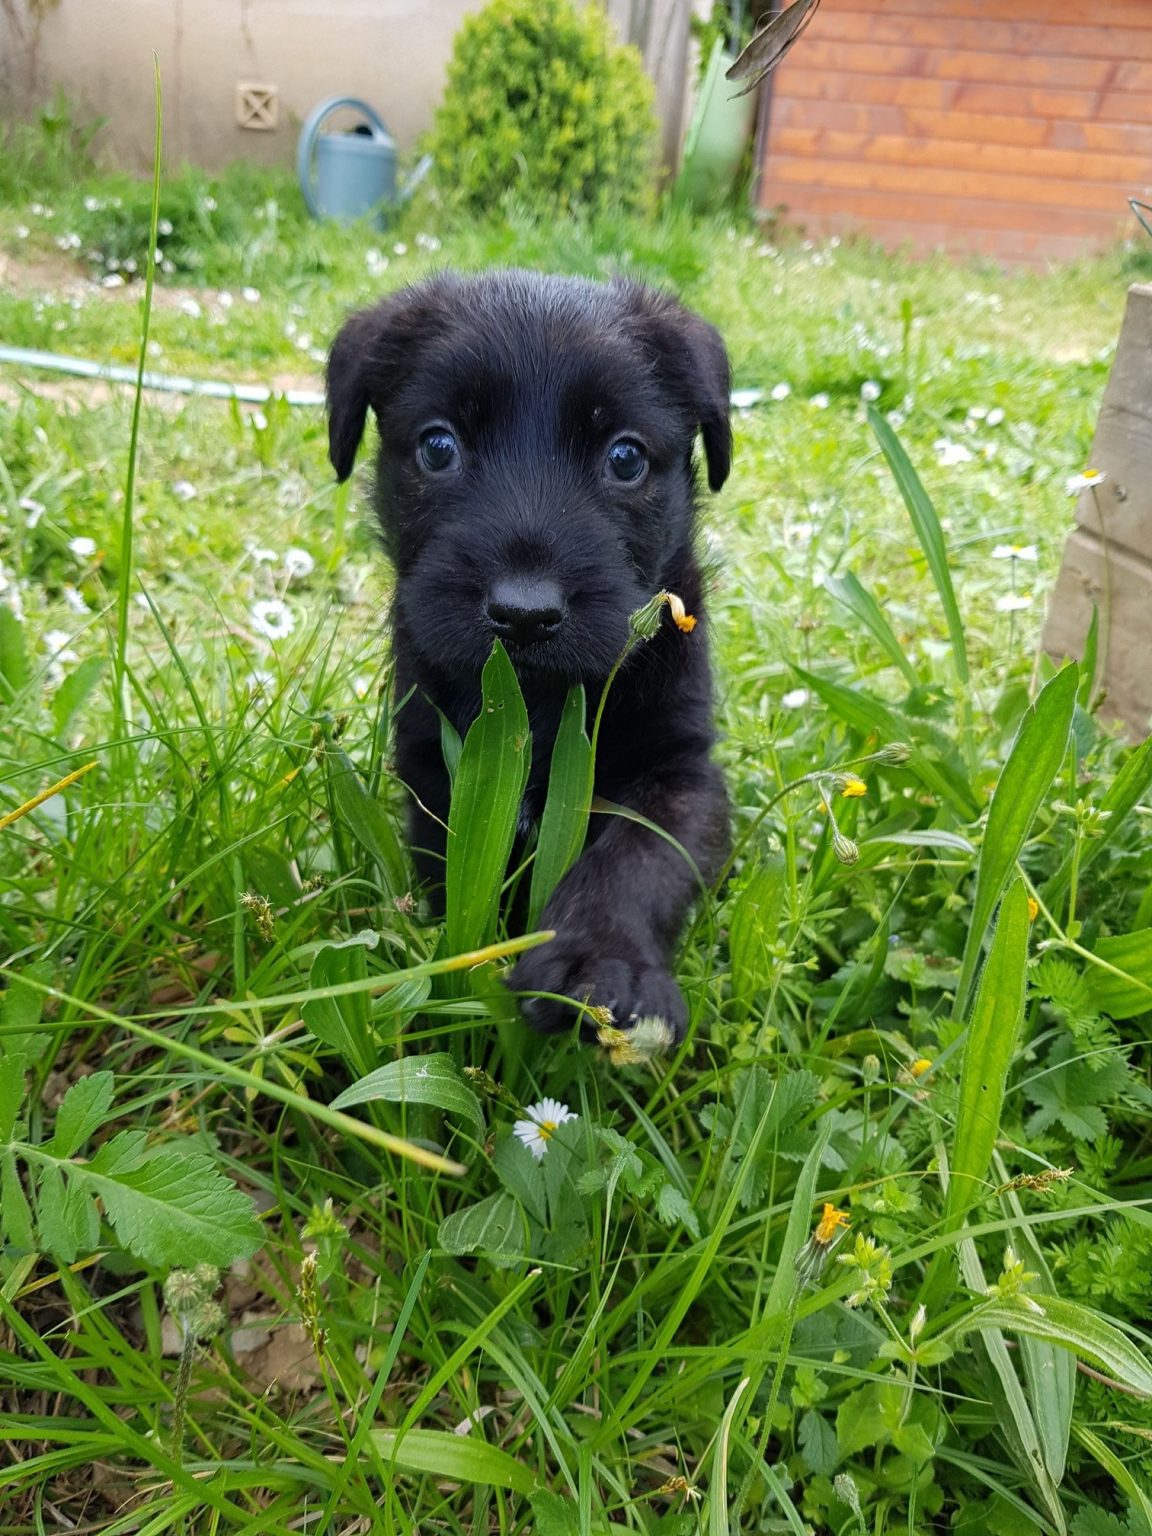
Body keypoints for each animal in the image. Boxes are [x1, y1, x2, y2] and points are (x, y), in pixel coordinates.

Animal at [327, 273, 731, 1044]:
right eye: (438, 447)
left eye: (626, 457)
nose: (523, 613)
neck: (535, 704)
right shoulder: (432, 766)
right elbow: (454, 870)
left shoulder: (681, 772)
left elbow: (639, 858)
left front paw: (600, 965)